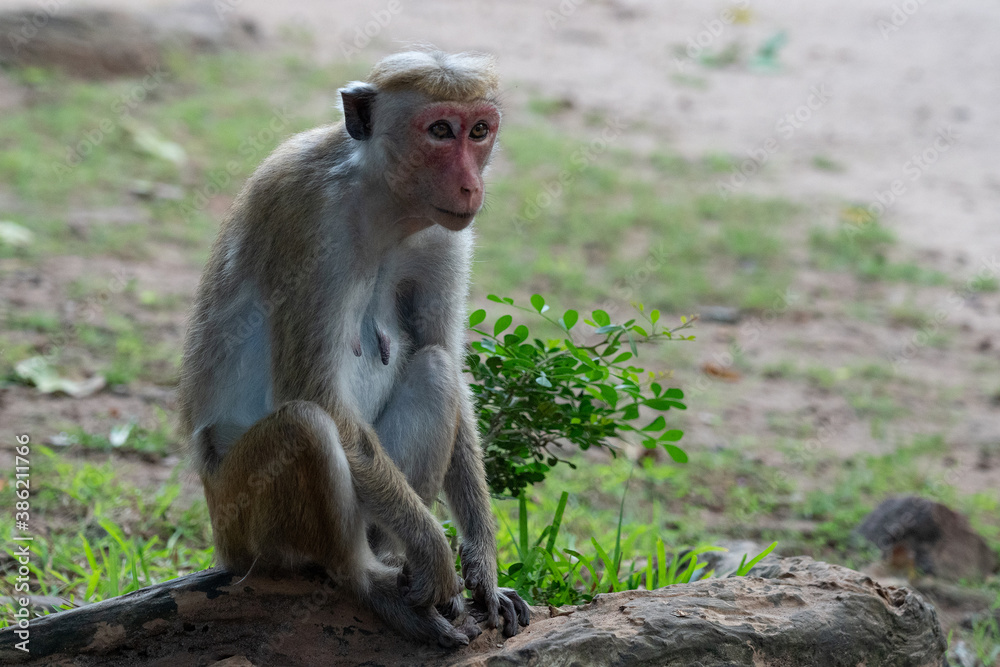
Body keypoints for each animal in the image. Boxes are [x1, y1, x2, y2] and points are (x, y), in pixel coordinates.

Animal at [175, 51, 532, 648]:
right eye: (440, 131)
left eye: (479, 131)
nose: (469, 186)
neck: (381, 200)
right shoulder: (309, 217)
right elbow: (316, 393)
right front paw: (435, 553)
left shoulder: (445, 234)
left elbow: (443, 353)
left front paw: (482, 566)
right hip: (239, 517)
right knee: (306, 427)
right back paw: (367, 579)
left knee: (433, 369)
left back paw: (393, 559)